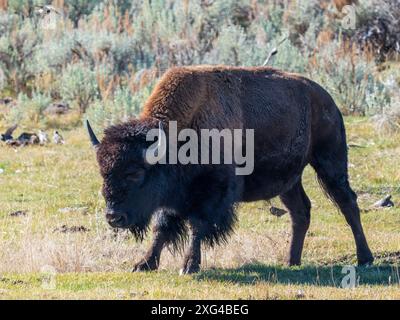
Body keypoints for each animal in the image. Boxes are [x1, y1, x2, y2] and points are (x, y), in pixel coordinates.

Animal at [86, 66, 374, 274]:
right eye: (103, 172)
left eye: (135, 173)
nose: (113, 217)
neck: (178, 137)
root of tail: (327, 100)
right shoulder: (172, 197)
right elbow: (162, 227)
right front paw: (143, 264)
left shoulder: (212, 194)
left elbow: (196, 226)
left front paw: (189, 266)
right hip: (289, 181)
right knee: (300, 212)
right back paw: (291, 261)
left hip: (329, 161)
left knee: (348, 203)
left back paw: (365, 258)